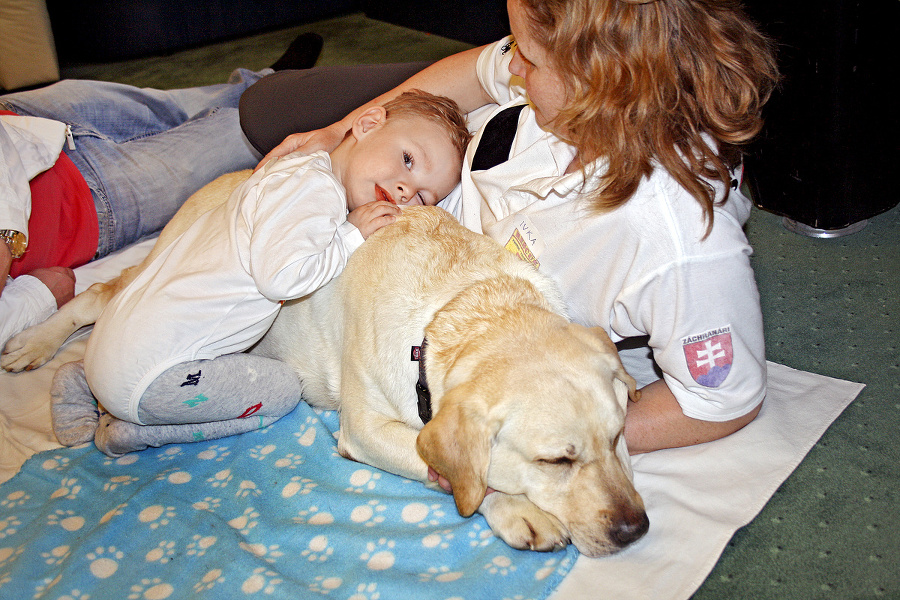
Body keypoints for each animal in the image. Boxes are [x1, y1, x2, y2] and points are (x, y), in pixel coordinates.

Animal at [1, 171, 648, 556]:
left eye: (619, 437)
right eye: (555, 460)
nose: (635, 529)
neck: (465, 306)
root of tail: (237, 177)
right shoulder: (365, 429)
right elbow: (466, 473)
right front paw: (517, 509)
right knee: (95, 296)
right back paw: (34, 345)